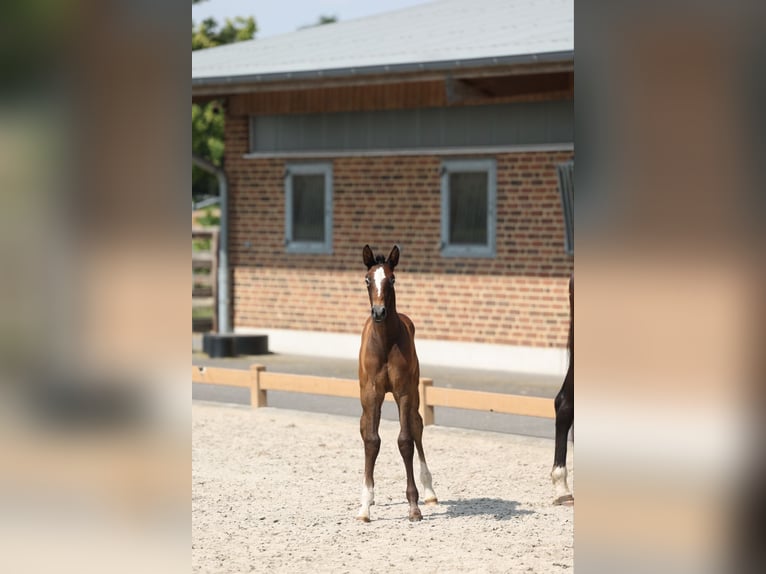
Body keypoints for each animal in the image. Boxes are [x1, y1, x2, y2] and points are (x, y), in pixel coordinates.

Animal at [356, 244, 438, 522]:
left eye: (391, 279)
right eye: (367, 279)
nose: (379, 312)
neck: (385, 343)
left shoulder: (403, 392)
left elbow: (405, 440)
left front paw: (414, 506)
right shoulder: (372, 393)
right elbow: (371, 440)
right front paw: (365, 506)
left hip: (414, 393)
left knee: (417, 426)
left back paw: (430, 491)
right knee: (364, 428)